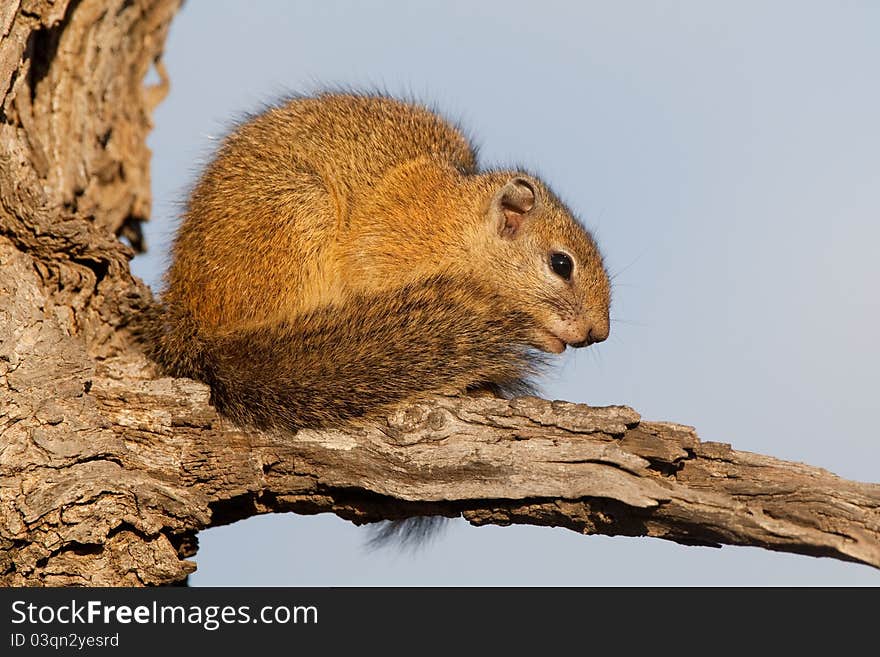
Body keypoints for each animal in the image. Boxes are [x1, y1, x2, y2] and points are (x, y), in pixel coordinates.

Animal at [148, 92, 608, 430]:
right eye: (561, 264)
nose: (597, 333)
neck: (452, 224)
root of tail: (191, 321)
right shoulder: (381, 255)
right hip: (296, 221)